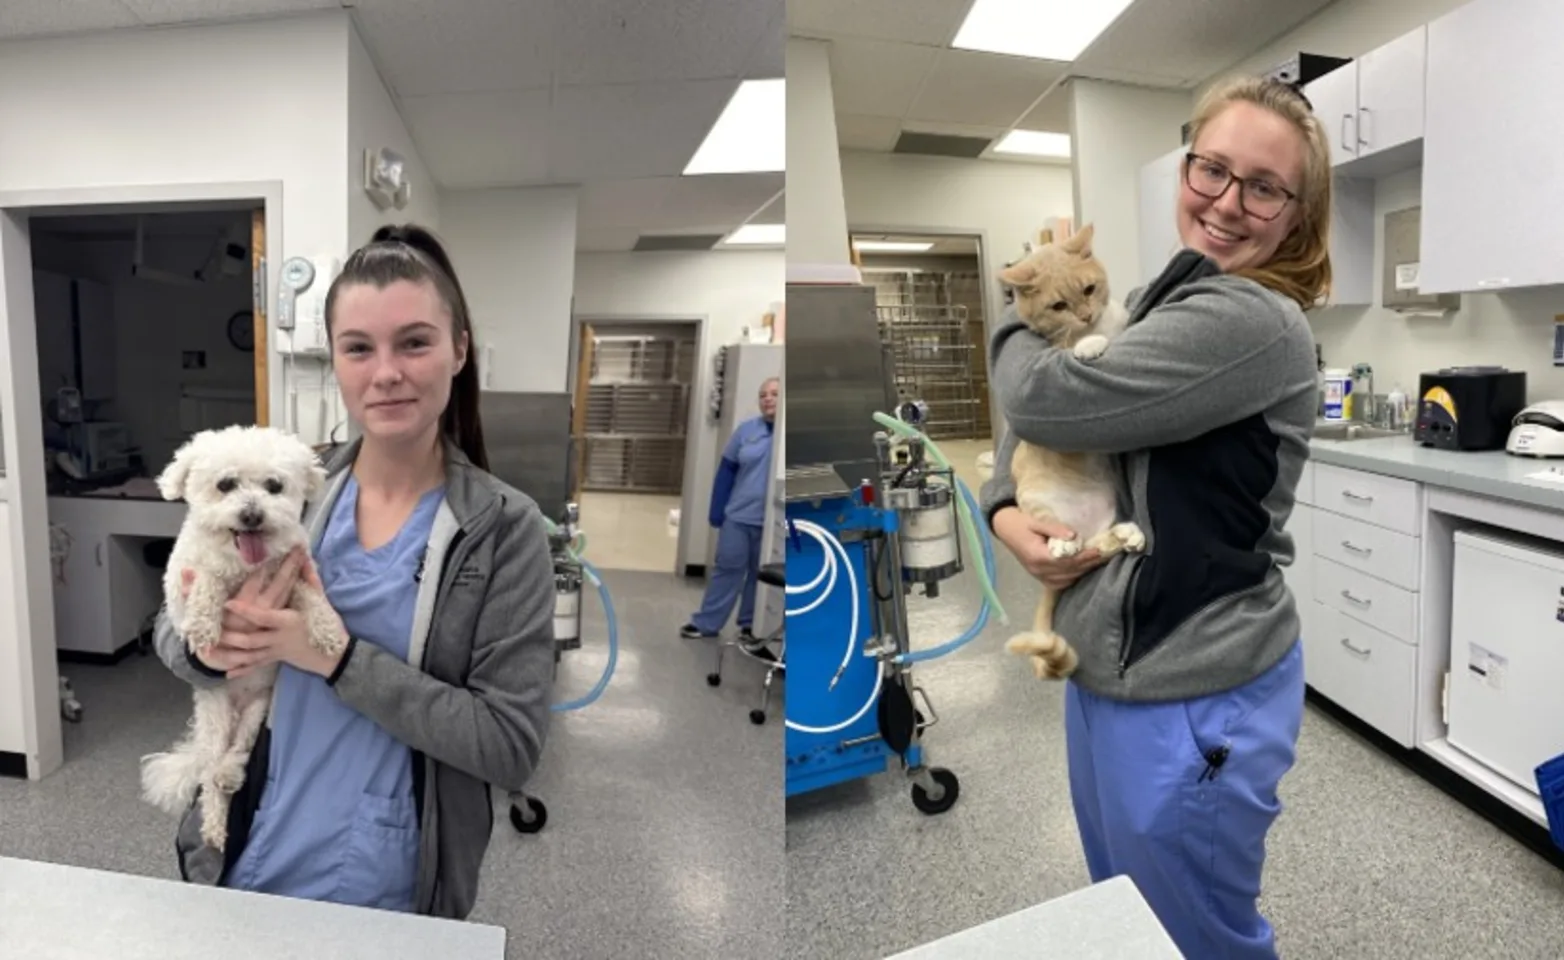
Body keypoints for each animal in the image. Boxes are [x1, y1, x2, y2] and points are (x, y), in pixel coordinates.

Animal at [141, 425, 345, 856]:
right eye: (225, 484)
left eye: (274, 486)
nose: (252, 515)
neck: (247, 566)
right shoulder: (186, 578)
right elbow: (207, 579)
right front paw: (204, 623)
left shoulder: (293, 571)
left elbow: (311, 595)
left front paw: (327, 629)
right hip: (215, 714)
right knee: (209, 778)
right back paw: (215, 825)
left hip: (256, 712)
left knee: (235, 753)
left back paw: (231, 775)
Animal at [994, 225, 1144, 681]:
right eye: (1059, 305)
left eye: (1089, 290)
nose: (1085, 317)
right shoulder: (1051, 358)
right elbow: (1069, 350)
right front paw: (1088, 344)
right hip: (1040, 501)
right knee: (1062, 535)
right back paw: (1063, 546)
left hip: (1106, 515)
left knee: (1099, 546)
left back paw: (1127, 534)